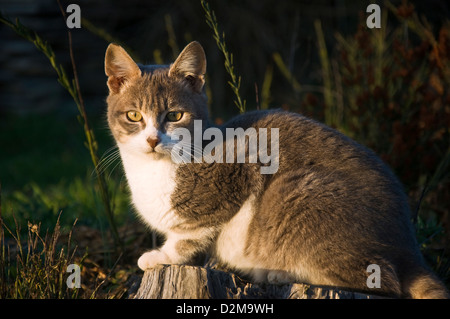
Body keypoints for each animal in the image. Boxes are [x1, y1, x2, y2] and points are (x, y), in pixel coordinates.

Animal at [104, 41, 446, 298]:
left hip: (296, 191)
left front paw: (158, 256)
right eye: (134, 115)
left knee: (383, 281)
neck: (154, 172)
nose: (152, 139)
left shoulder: (243, 166)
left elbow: (189, 234)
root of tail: (410, 251)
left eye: (175, 115)